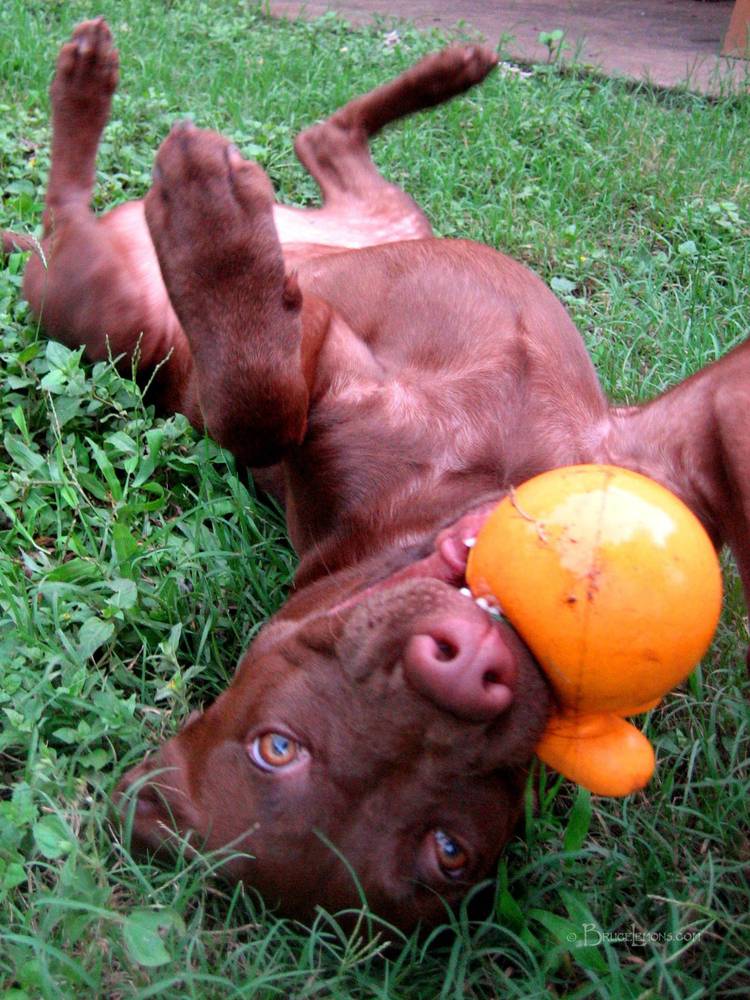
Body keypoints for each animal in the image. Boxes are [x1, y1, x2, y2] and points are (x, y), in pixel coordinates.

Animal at [4, 19, 748, 931]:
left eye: (450, 848)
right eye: (278, 747)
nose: (466, 673)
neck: (443, 508)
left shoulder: (667, 451)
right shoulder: (313, 381)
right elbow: (257, 403)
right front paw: (211, 223)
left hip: (389, 217)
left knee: (323, 139)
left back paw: (447, 71)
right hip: (100, 314)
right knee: (65, 206)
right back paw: (99, 99)